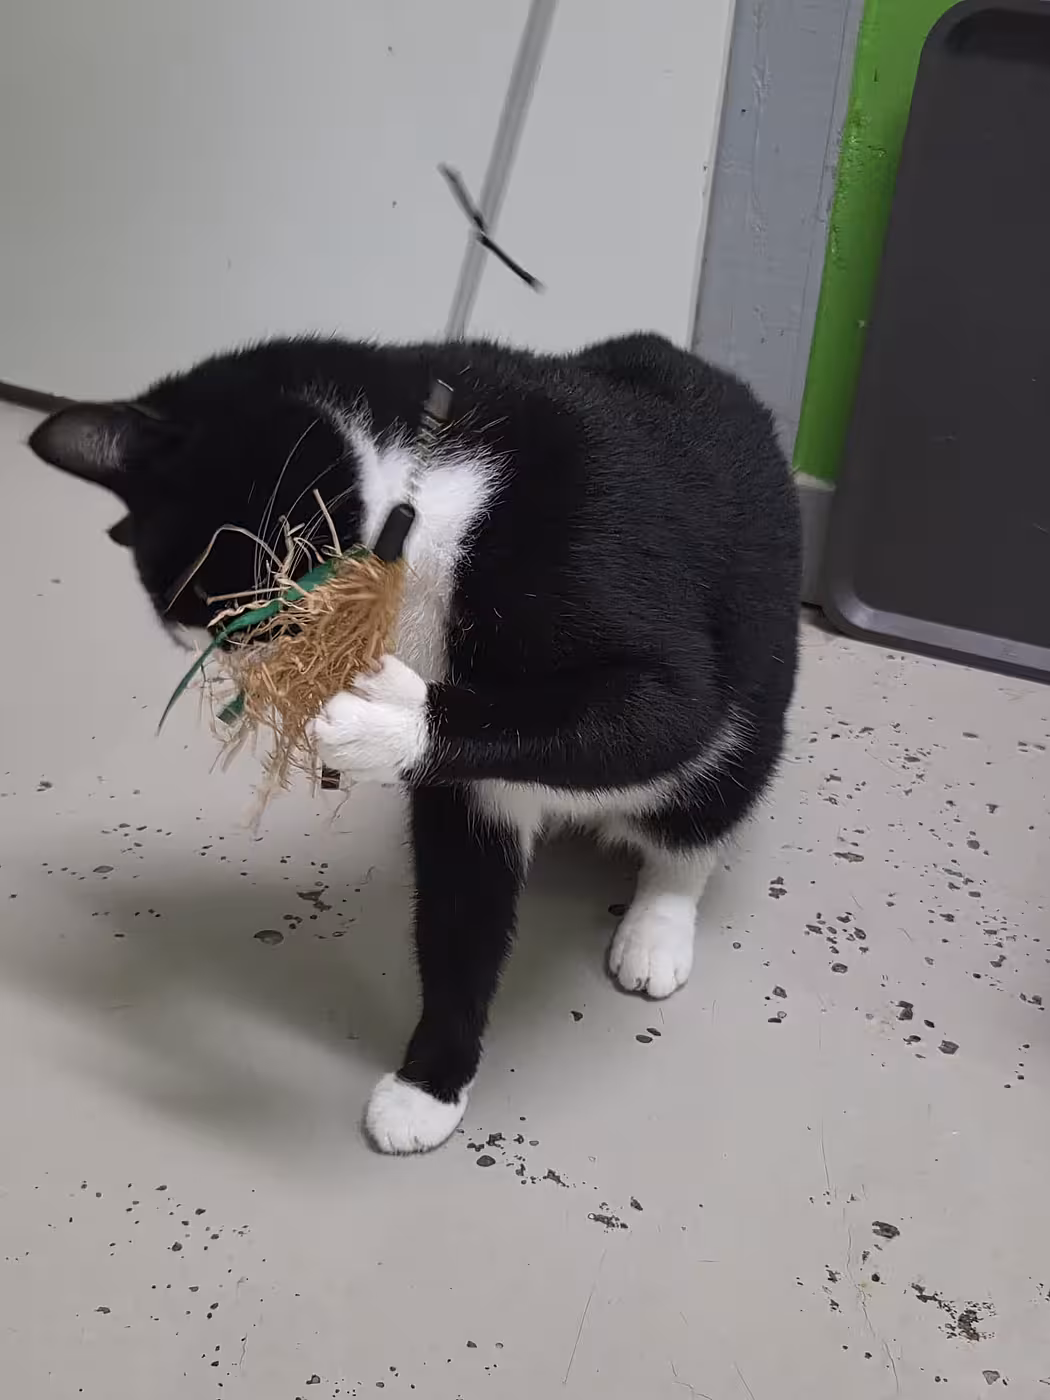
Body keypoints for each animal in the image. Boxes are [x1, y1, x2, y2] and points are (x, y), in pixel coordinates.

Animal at [28, 332, 801, 1153]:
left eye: (224, 599)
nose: (250, 668)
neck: (429, 497)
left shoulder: (602, 538)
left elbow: (665, 709)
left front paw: (379, 718)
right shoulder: (467, 801)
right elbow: (458, 920)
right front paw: (429, 1086)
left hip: (749, 720)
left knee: (696, 819)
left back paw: (656, 931)